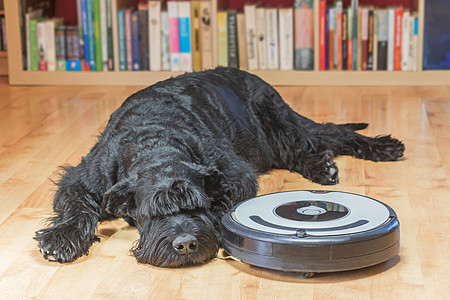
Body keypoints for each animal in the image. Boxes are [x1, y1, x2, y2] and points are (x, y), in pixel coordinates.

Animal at [35, 68, 404, 268]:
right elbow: (77, 206)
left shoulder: (234, 172)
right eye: (153, 213)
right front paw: (62, 237)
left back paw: (377, 149)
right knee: (309, 146)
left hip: (278, 122)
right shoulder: (83, 178)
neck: (155, 141)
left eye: (197, 205)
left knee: (325, 136)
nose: (184, 244)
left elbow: (225, 199)